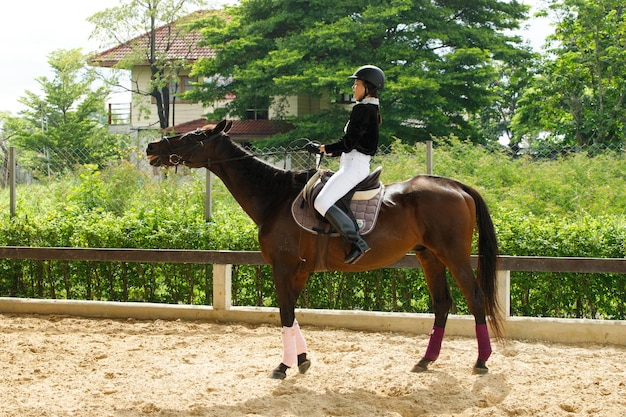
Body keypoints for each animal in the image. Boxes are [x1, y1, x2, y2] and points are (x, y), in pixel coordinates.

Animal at [146, 119, 502, 376]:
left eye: (192, 136)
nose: (152, 145)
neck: (275, 196)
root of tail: (454, 185)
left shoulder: (284, 266)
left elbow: (285, 313)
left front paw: (285, 365)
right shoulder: (299, 269)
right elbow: (292, 313)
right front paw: (302, 359)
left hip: (453, 255)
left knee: (475, 297)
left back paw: (482, 361)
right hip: (430, 256)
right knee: (442, 303)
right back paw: (426, 360)